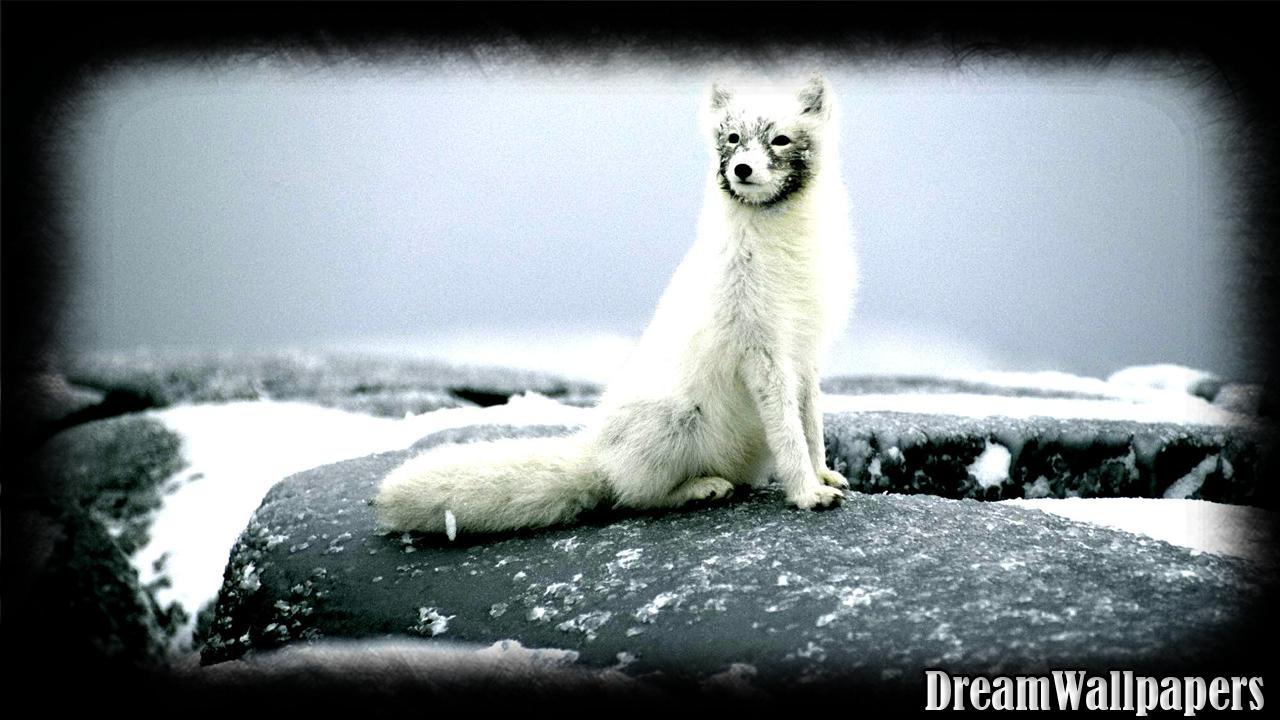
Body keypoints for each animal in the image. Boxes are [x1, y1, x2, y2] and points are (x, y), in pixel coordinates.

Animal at [375, 74, 858, 536]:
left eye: (780, 140)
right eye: (734, 137)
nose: (741, 168)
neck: (783, 246)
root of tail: (597, 450)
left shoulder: (805, 353)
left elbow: (811, 425)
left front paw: (823, 474)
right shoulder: (762, 352)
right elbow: (789, 434)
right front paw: (806, 493)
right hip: (675, 418)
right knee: (633, 495)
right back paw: (700, 488)